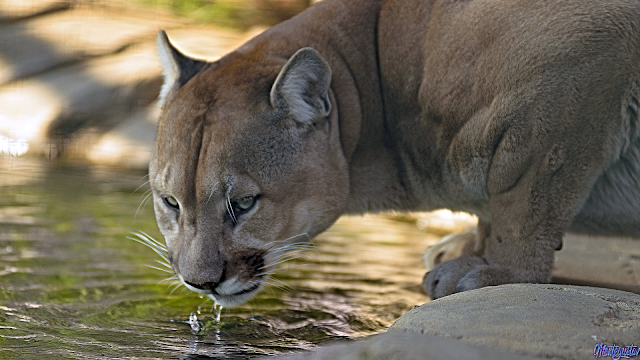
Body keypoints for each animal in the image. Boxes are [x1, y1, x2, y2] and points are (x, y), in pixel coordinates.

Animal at [151, 0, 640, 306]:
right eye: (170, 201)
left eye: (245, 203)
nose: (201, 283)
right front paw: (469, 247)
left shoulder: (578, 64)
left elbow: (525, 206)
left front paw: (502, 272)